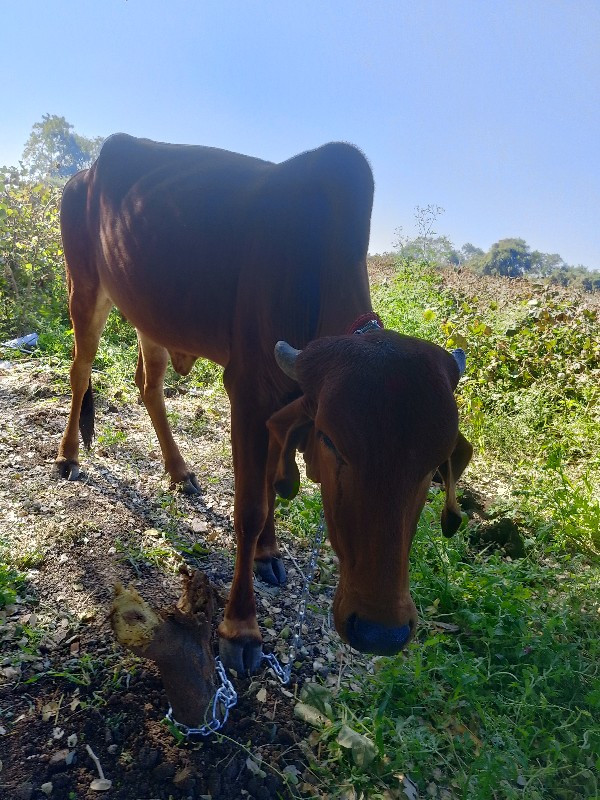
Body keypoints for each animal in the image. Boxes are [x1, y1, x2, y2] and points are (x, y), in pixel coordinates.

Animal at [54, 134, 472, 672]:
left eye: (434, 466)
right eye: (334, 445)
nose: (381, 632)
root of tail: (82, 175)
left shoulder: (288, 402)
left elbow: (274, 483)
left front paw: (270, 553)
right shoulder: (249, 395)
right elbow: (250, 508)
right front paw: (241, 628)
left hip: (151, 313)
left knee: (148, 383)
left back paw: (179, 471)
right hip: (84, 288)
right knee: (81, 369)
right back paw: (68, 456)